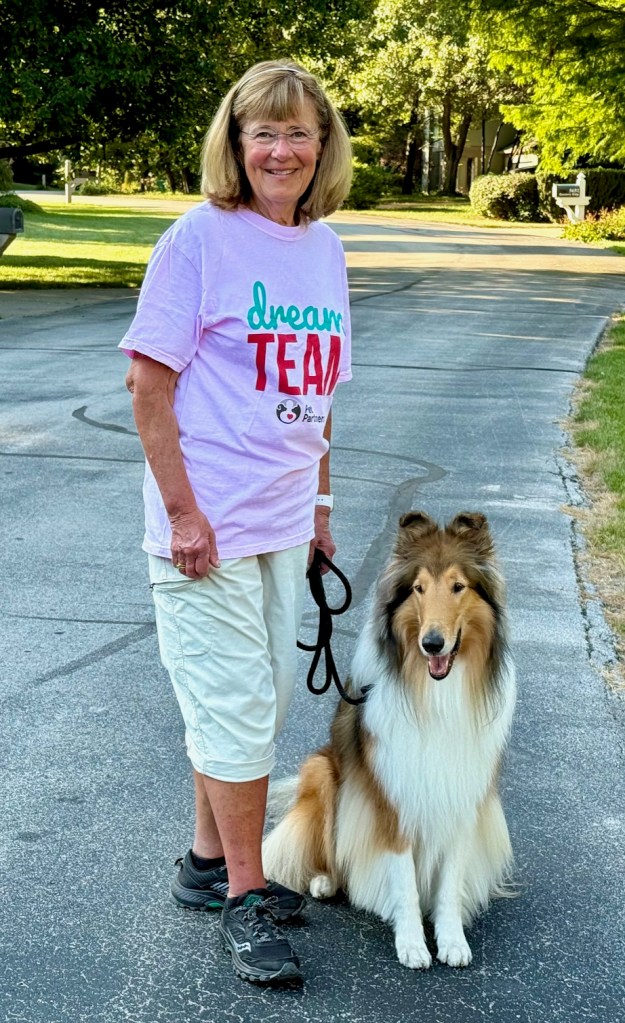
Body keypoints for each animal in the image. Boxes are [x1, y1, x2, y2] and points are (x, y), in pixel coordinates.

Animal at [263, 511, 516, 969]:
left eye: (458, 586)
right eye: (418, 588)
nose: (432, 643)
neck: (436, 694)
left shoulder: (462, 795)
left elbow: (450, 879)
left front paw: (451, 939)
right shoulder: (392, 799)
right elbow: (403, 879)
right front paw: (413, 942)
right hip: (323, 771)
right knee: (331, 856)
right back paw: (326, 881)